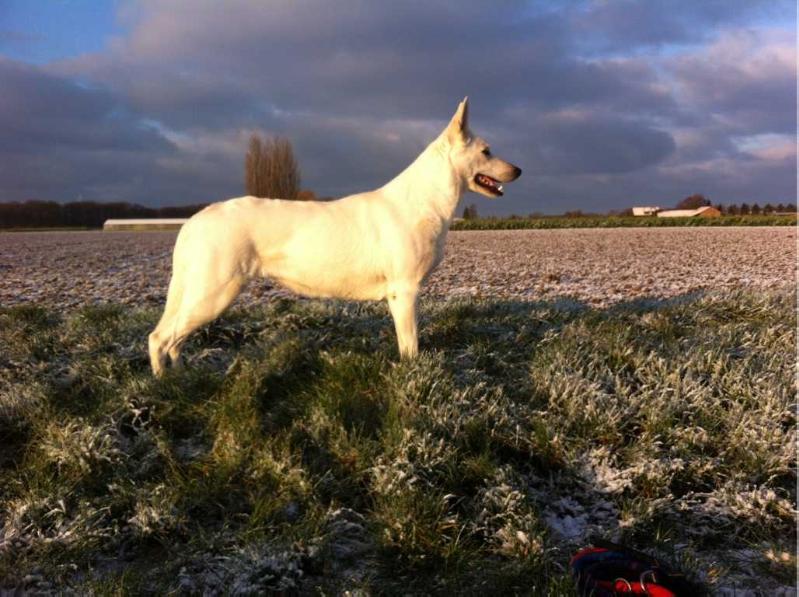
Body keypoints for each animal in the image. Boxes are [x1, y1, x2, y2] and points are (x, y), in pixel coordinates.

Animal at [148, 99, 524, 374]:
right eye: (487, 151)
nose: (519, 170)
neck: (426, 200)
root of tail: (195, 219)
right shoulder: (404, 291)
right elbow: (411, 345)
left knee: (175, 341)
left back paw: (185, 376)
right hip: (214, 293)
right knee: (160, 338)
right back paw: (165, 385)